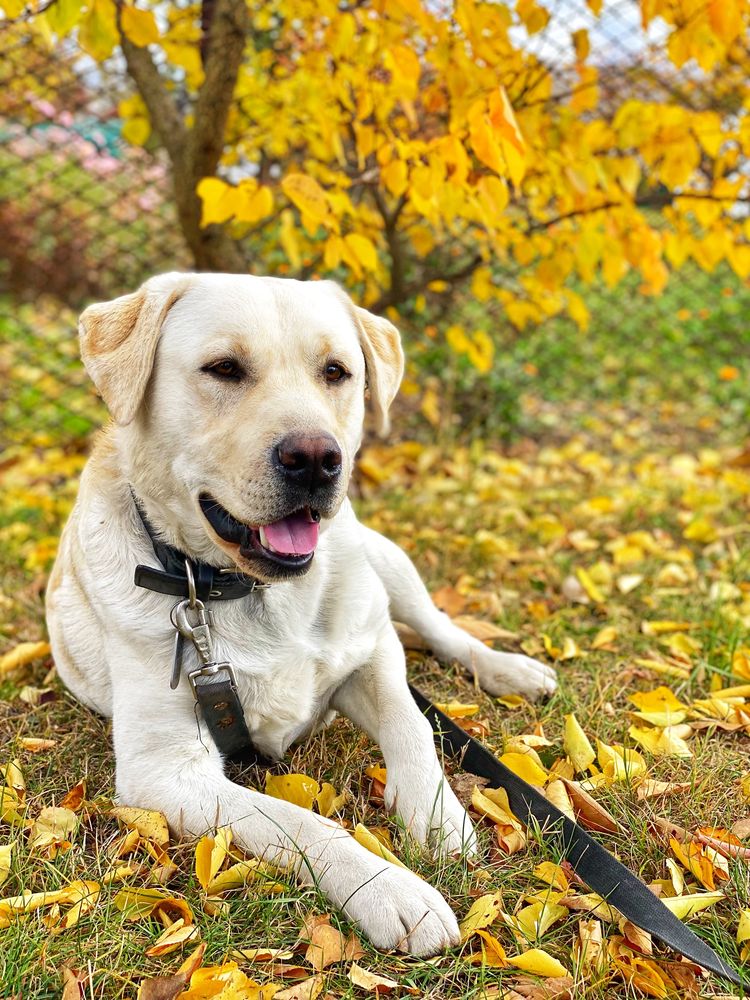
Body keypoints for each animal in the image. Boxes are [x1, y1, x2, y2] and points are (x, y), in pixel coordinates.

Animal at [44, 272, 556, 952]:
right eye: (224, 368)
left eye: (336, 371)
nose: (316, 458)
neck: (252, 591)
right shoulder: (164, 771)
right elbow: (301, 822)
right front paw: (391, 891)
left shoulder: (371, 654)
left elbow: (414, 726)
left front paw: (438, 816)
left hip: (385, 560)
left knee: (440, 628)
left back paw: (508, 669)